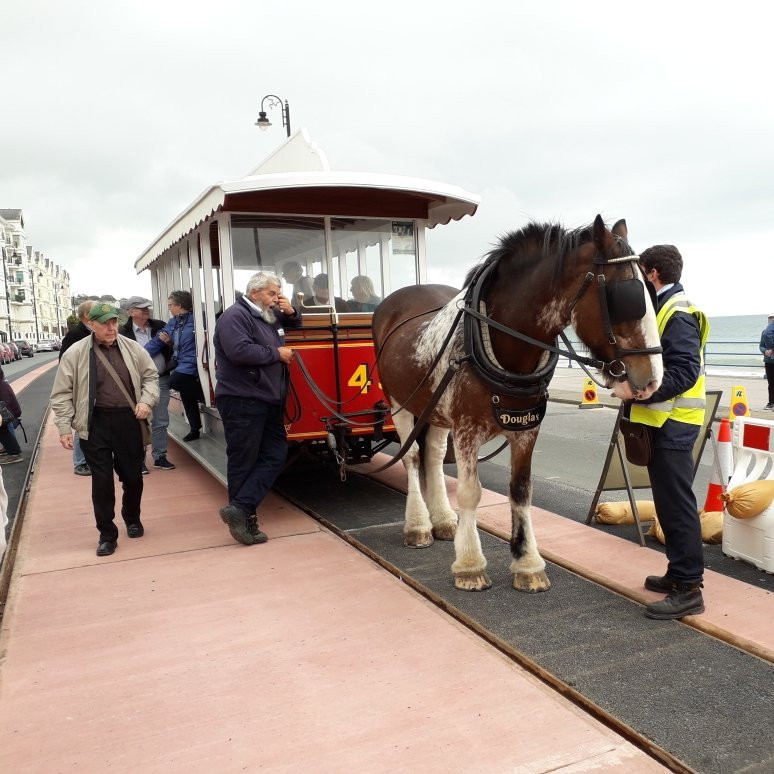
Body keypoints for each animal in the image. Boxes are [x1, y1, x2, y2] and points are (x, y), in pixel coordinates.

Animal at [372, 218, 664, 596]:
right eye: (625, 298)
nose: (653, 379)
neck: (498, 339)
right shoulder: (466, 431)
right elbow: (470, 492)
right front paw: (470, 565)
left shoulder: (526, 430)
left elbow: (521, 491)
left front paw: (528, 564)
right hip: (400, 402)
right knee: (411, 458)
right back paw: (419, 526)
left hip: (432, 406)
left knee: (433, 457)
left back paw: (444, 521)